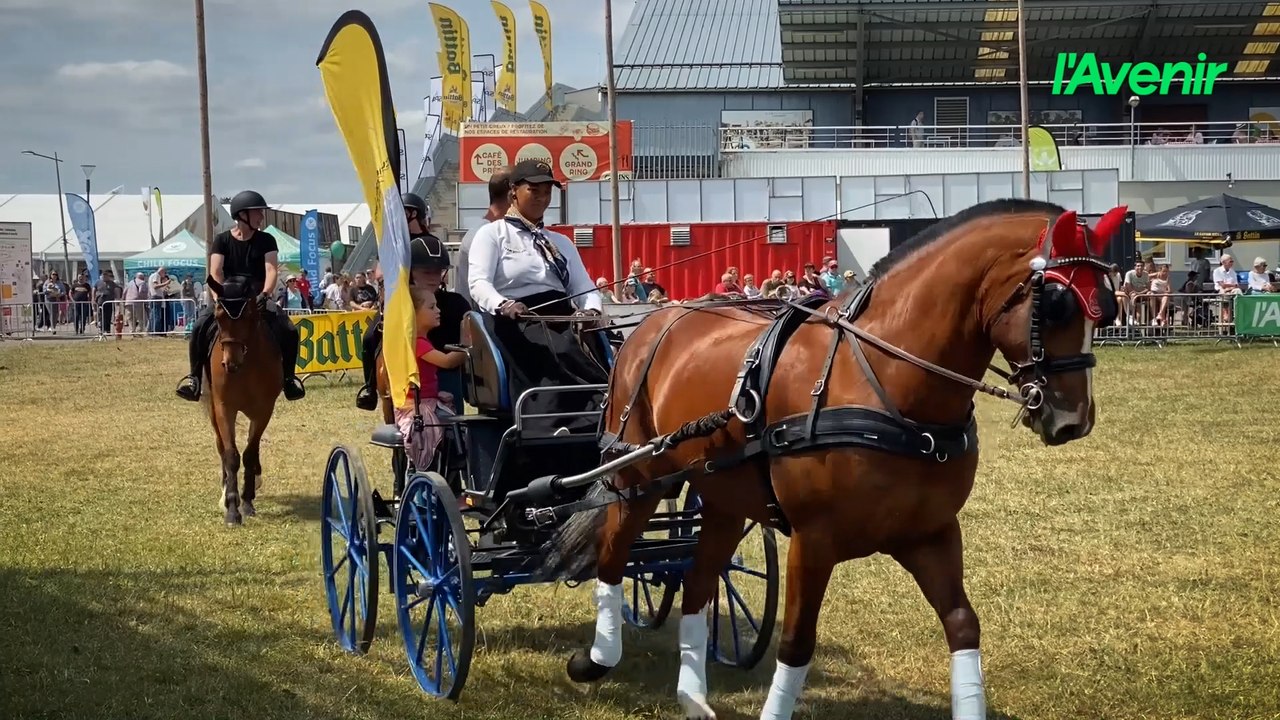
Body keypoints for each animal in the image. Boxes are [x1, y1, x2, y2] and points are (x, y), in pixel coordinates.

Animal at [203, 276, 283, 526]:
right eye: (219, 317)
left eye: (248, 315)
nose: (230, 363)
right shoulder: (224, 408)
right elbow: (231, 455)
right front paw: (231, 509)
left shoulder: (264, 410)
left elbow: (249, 453)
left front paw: (246, 502)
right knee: (221, 446)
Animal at [545, 199, 1127, 719]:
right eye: (1057, 304)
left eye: (1110, 305)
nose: (1073, 419)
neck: (885, 385)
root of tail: (646, 324)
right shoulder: (814, 540)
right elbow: (797, 643)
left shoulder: (930, 533)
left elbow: (963, 624)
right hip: (640, 475)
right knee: (614, 554)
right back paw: (596, 659)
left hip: (723, 495)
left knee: (699, 579)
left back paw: (692, 697)